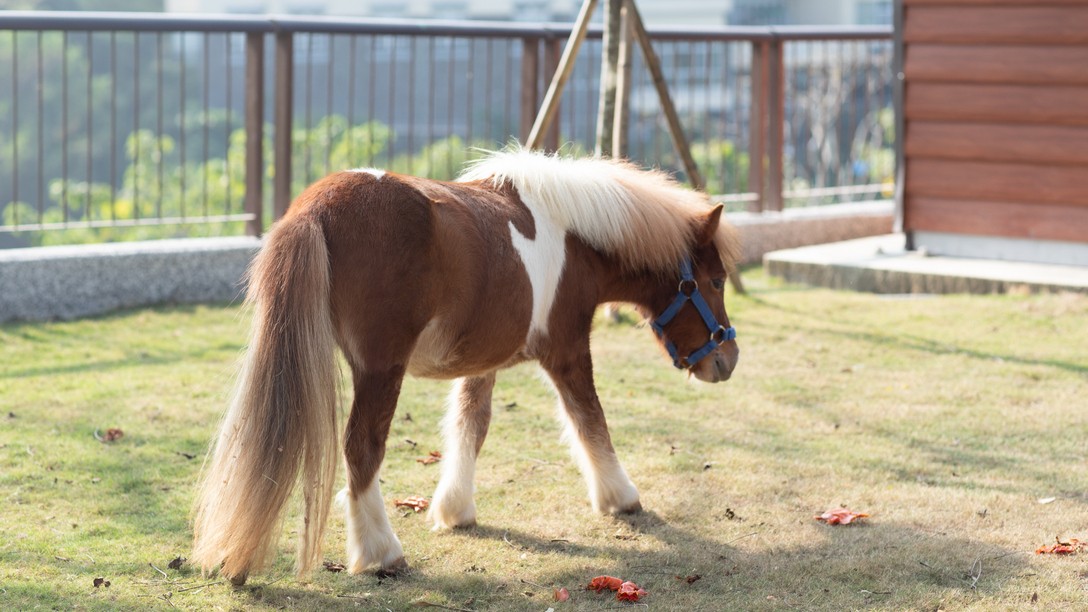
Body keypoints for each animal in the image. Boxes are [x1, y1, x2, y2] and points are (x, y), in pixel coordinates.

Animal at [191, 149, 741, 585]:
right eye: (713, 281)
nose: (727, 359)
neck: (573, 235)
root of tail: (315, 208)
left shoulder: (483, 359)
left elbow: (469, 425)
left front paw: (455, 509)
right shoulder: (567, 351)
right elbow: (590, 421)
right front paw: (620, 498)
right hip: (380, 370)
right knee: (362, 448)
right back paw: (381, 554)